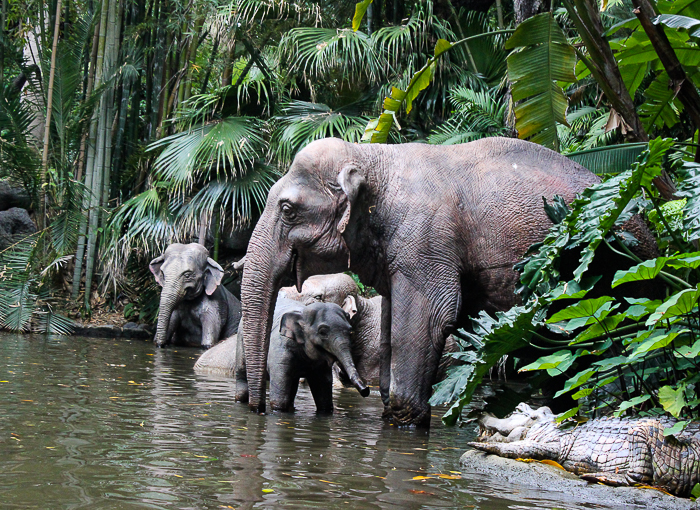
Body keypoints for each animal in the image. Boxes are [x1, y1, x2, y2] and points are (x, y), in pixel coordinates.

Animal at [235, 296, 370, 412]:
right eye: (322, 332)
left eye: (350, 332)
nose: (366, 390)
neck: (302, 312)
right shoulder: (280, 350)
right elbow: (280, 398)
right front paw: (278, 410)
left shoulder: (321, 365)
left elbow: (324, 397)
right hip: (241, 341)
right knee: (242, 375)